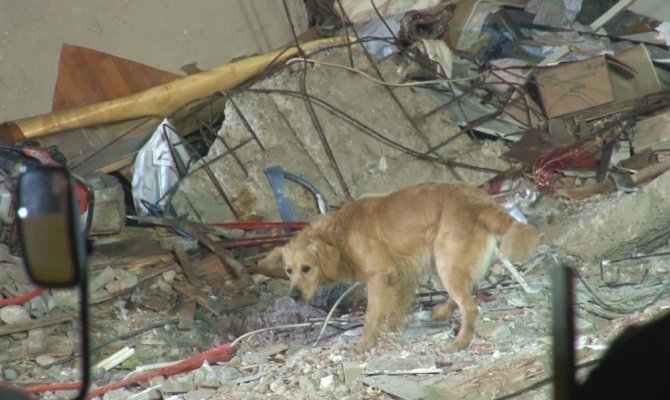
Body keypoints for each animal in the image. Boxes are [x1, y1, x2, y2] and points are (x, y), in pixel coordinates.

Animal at [262, 181, 540, 354]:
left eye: (306, 268)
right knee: (466, 290)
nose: (294, 295)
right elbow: (395, 307)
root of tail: (477, 199)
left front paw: (364, 343)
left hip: (445, 260)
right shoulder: (402, 275)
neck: (340, 233)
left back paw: (460, 342)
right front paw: (390, 328)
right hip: (441, 262)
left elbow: (371, 315)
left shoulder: (380, 276)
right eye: (288, 271)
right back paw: (441, 312)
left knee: (470, 306)